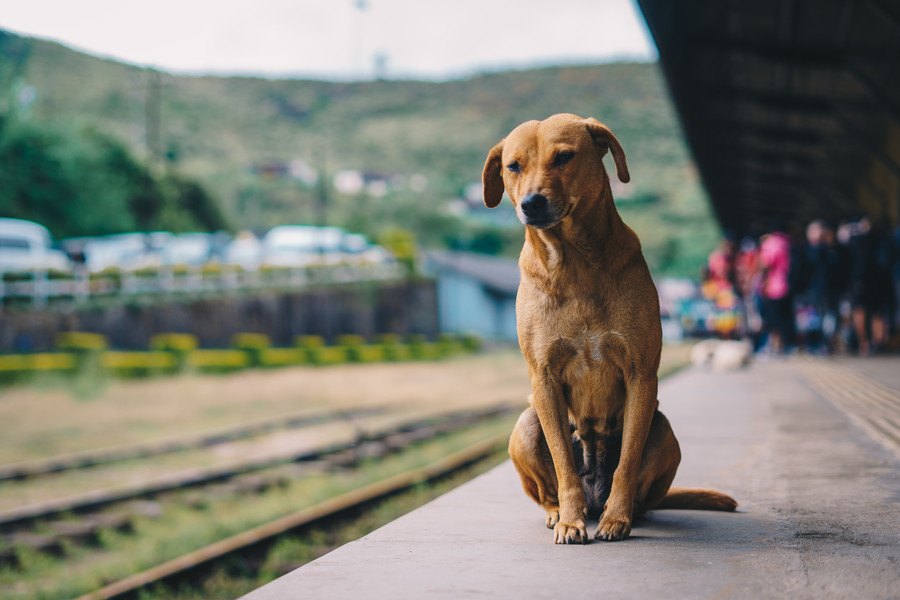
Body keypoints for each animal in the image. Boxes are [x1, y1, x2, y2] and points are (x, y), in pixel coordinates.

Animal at [482, 112, 736, 544]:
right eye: (513, 166)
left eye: (564, 157)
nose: (532, 203)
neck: (574, 264)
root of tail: (594, 498)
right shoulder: (544, 379)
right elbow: (564, 465)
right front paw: (570, 521)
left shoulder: (641, 375)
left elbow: (627, 462)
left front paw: (618, 518)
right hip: (526, 425)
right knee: (548, 484)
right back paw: (559, 511)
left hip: (664, 430)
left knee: (644, 485)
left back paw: (625, 511)